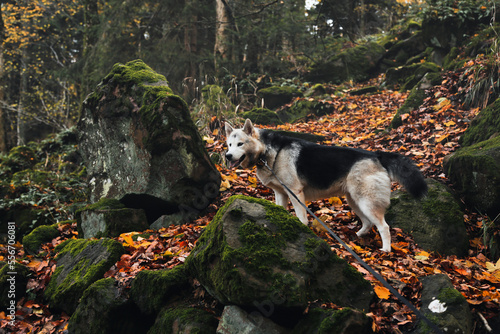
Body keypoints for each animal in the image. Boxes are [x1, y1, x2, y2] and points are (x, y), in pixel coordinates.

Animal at [225, 118, 428, 252]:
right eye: (229, 145)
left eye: (240, 144)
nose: (227, 156)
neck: (267, 152)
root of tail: (376, 155)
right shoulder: (281, 194)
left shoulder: (295, 193)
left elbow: (301, 217)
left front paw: (302, 229)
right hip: (355, 201)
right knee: (369, 222)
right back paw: (358, 236)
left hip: (366, 202)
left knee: (383, 227)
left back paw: (386, 249)